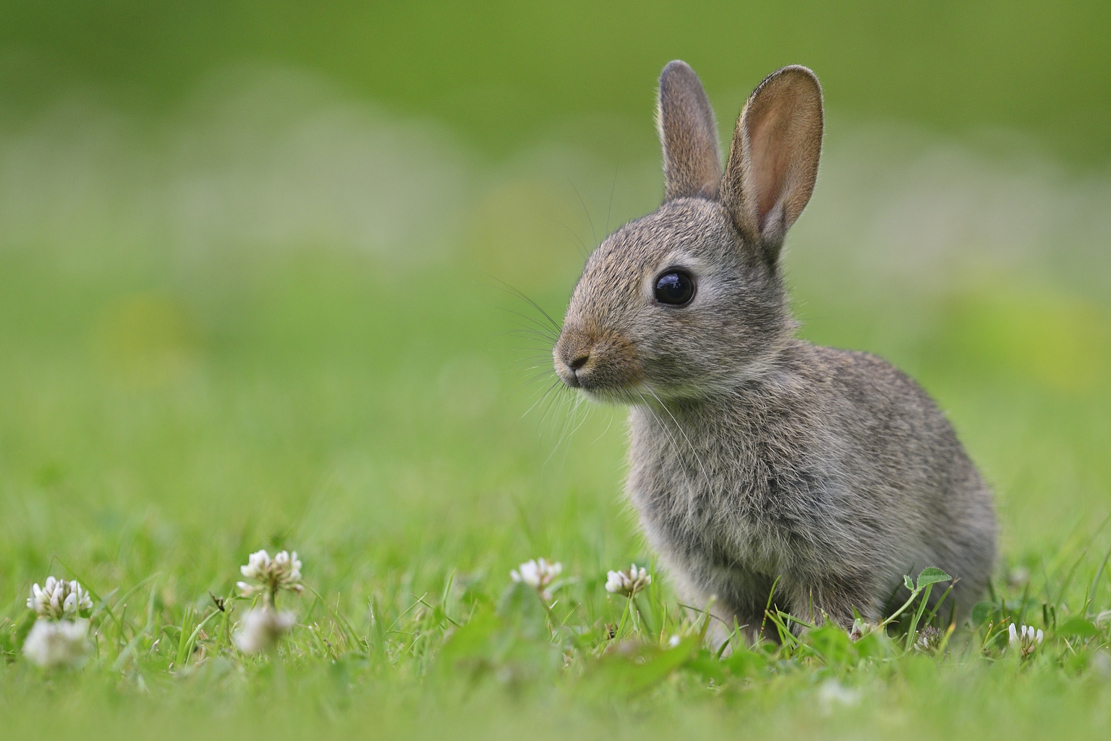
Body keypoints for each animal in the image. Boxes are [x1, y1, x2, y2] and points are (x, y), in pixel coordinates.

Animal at [555, 59, 999, 639]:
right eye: (596, 260)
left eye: (674, 287)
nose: (571, 358)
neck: (726, 387)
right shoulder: (718, 569)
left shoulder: (833, 543)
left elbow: (834, 601)